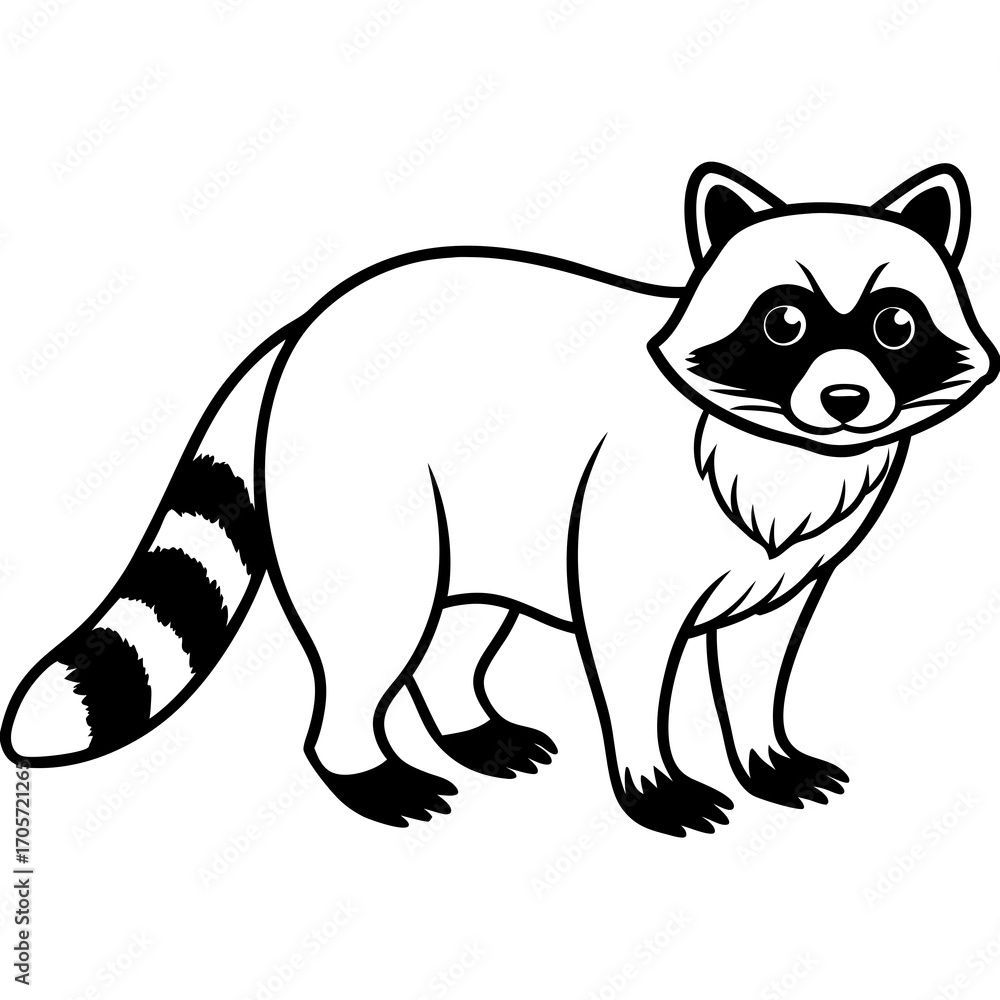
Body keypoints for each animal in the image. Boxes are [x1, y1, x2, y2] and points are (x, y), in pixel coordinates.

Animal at [3, 163, 995, 836]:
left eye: (895, 325)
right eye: (785, 322)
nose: (845, 400)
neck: (791, 450)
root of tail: (308, 321)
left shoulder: (795, 558)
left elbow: (763, 652)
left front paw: (764, 754)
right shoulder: (627, 527)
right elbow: (630, 661)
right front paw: (653, 776)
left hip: (483, 522)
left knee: (456, 630)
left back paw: (468, 724)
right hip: (377, 495)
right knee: (371, 637)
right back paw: (363, 764)